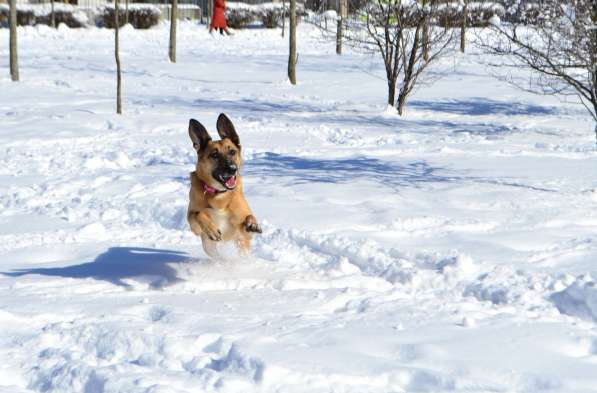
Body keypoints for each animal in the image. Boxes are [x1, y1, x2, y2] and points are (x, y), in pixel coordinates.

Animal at [186, 113, 260, 258]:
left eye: (232, 152)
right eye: (214, 155)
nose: (232, 169)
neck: (219, 194)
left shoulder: (244, 235)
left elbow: (249, 216)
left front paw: (252, 224)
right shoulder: (194, 226)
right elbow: (198, 213)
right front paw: (212, 229)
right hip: (208, 246)